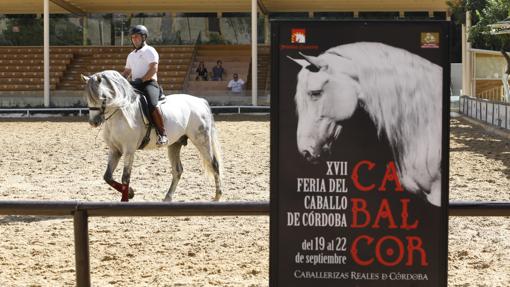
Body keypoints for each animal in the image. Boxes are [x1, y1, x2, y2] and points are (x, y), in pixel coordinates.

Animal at [81, 70, 221, 202]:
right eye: (88, 97)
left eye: (102, 97)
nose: (93, 122)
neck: (120, 114)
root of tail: (200, 101)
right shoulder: (115, 150)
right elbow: (107, 177)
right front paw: (131, 193)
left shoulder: (129, 150)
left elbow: (125, 177)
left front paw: (126, 197)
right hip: (175, 144)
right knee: (178, 170)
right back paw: (167, 198)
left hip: (201, 140)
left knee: (214, 164)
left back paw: (217, 196)